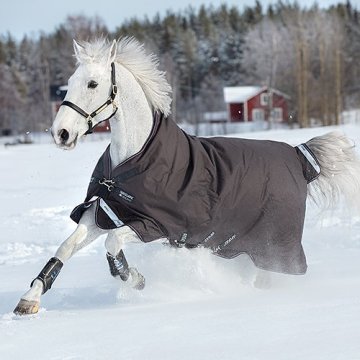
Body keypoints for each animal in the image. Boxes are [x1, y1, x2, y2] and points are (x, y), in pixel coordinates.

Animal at [14, 38, 360, 316]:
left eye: (93, 84)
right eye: (71, 81)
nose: (61, 133)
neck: (135, 159)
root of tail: (300, 155)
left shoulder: (155, 225)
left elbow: (113, 244)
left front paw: (135, 280)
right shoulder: (105, 212)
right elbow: (65, 248)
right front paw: (29, 301)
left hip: (274, 245)